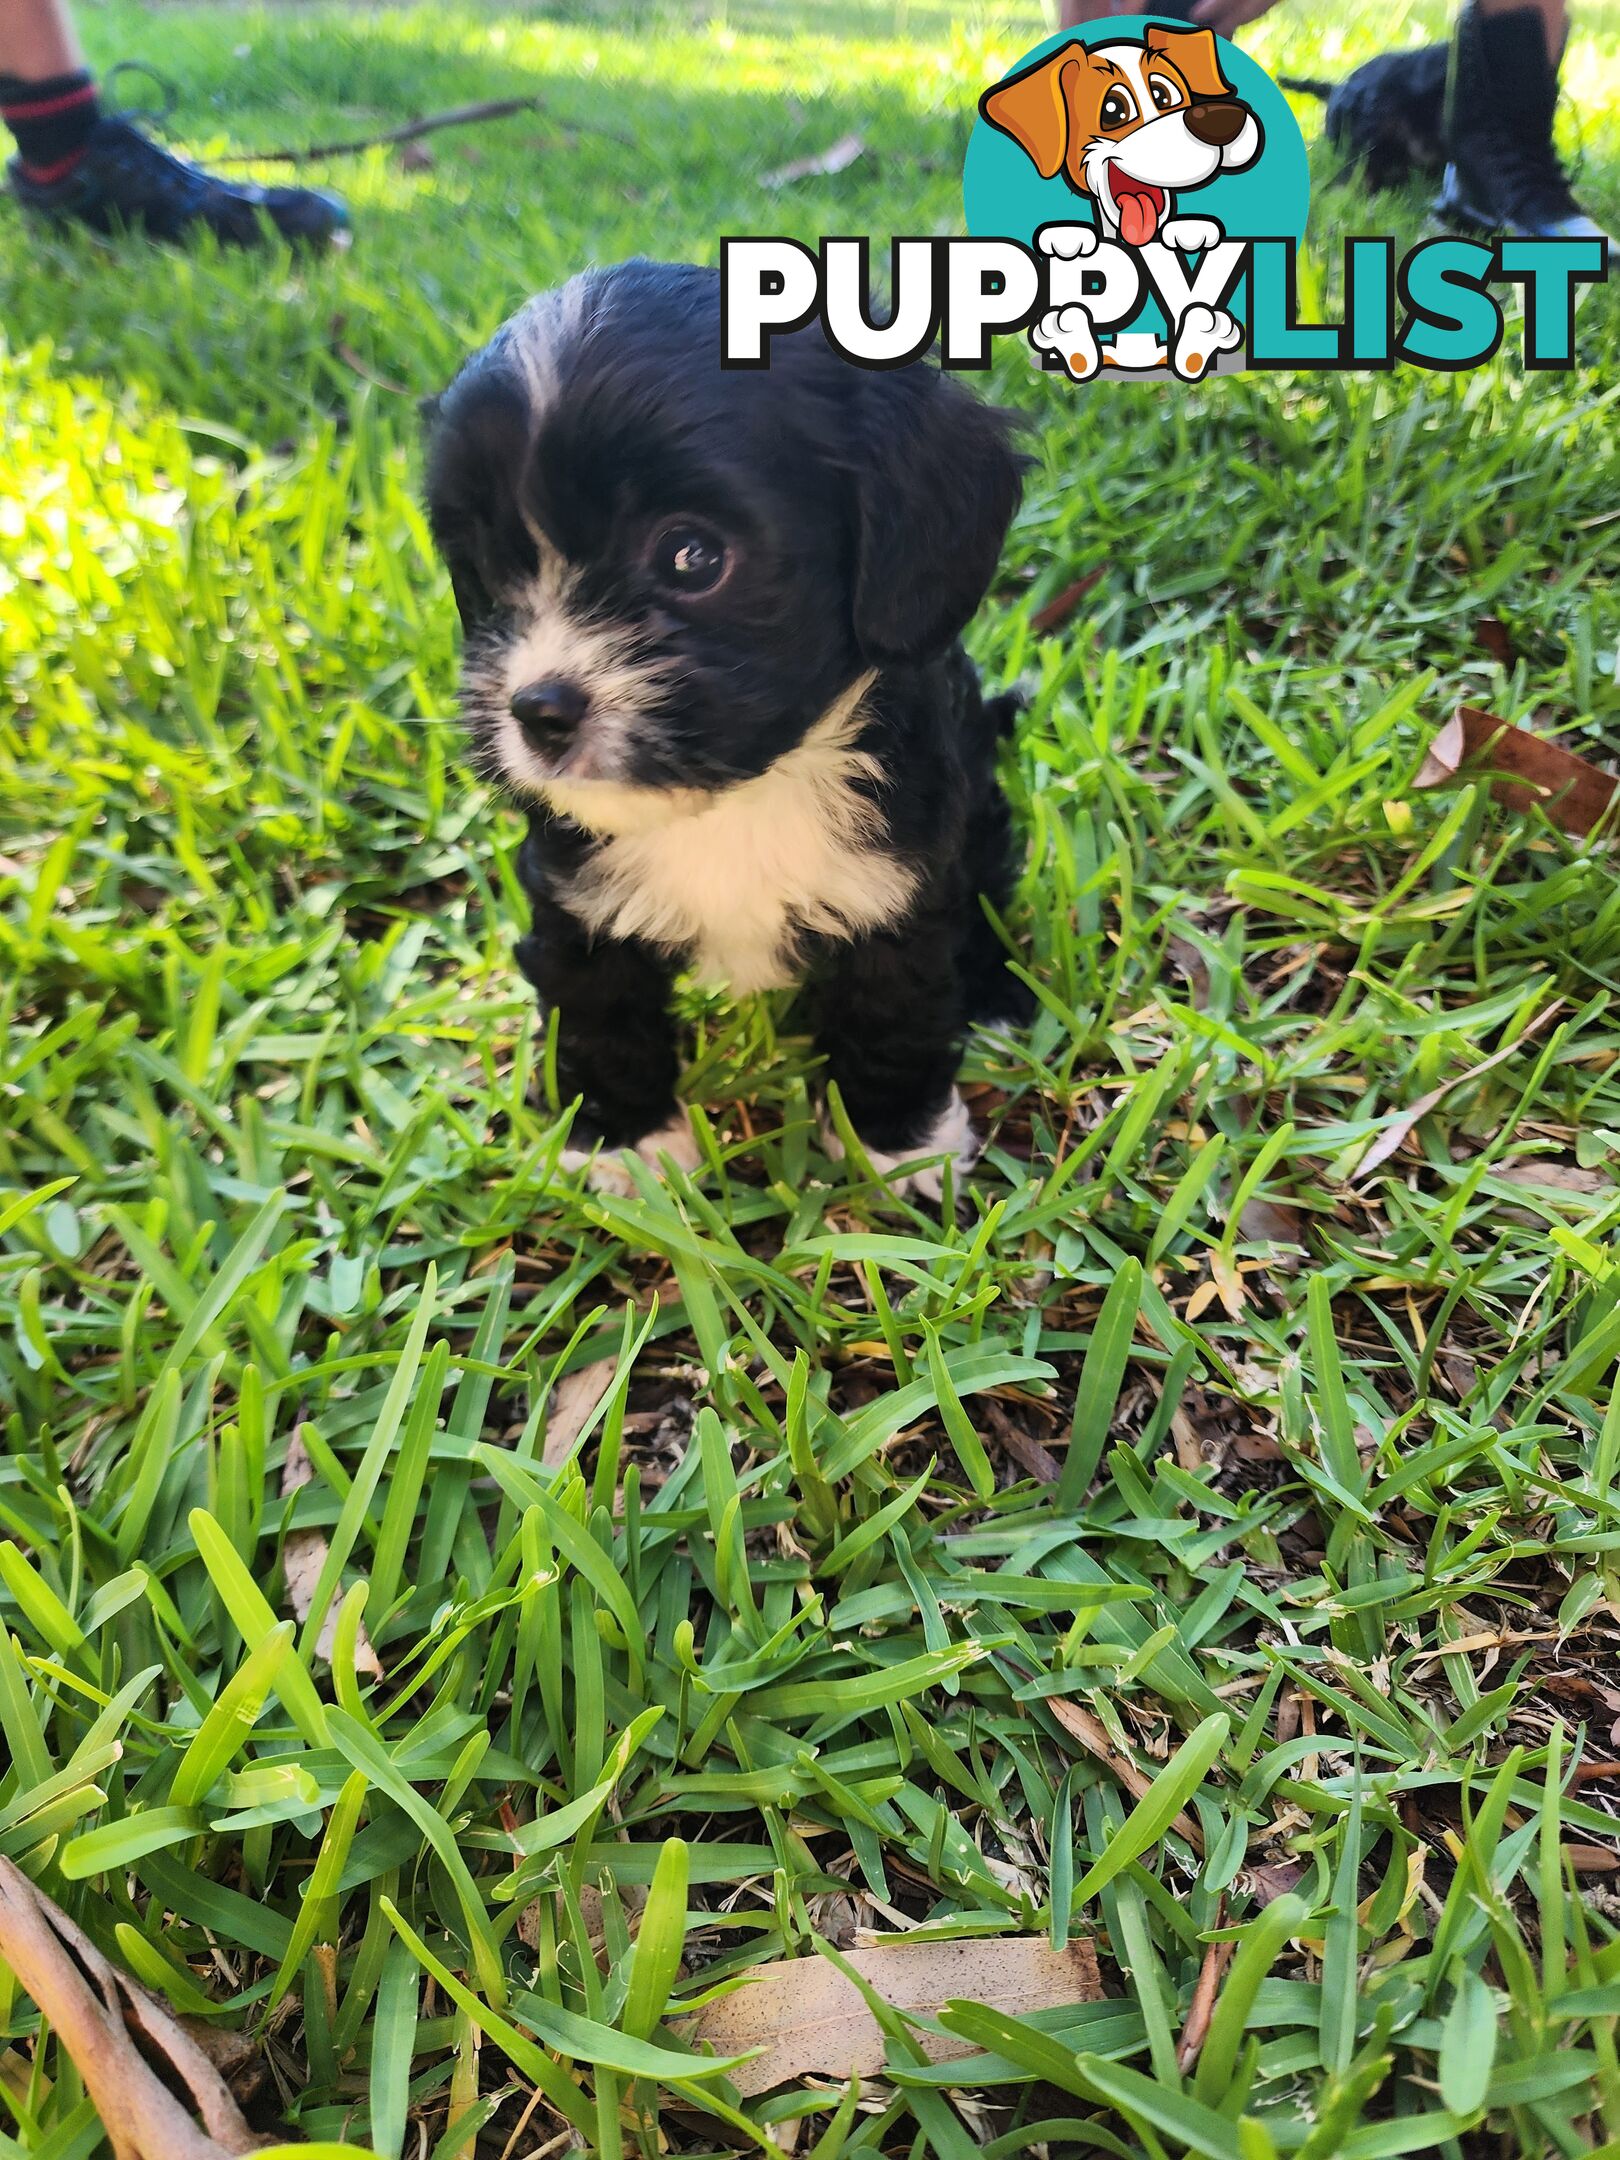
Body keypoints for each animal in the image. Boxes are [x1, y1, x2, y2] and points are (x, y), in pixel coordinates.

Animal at [427, 261, 1028, 1200]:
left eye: (693, 556)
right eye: (488, 572)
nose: (537, 710)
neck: (736, 798)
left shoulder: (901, 883)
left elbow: (894, 1010)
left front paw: (895, 1144)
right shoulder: (576, 898)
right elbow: (599, 1011)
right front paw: (627, 1142)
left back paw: (998, 1001)